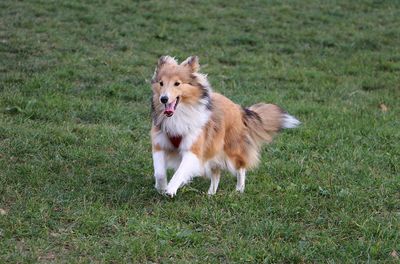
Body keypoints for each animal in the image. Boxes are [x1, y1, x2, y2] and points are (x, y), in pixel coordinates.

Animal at [150, 55, 300, 196]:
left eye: (177, 83)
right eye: (161, 83)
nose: (163, 99)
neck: (178, 115)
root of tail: (238, 109)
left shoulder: (194, 149)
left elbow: (180, 171)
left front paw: (171, 189)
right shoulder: (159, 145)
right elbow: (160, 173)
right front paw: (162, 187)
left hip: (231, 149)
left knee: (241, 168)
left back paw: (239, 189)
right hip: (214, 149)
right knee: (216, 173)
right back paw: (211, 194)